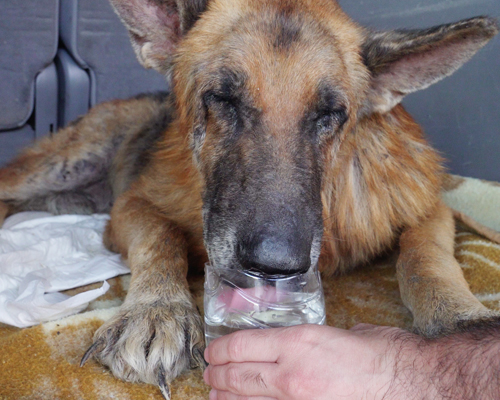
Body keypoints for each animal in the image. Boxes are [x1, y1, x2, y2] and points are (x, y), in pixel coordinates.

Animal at [0, 0, 498, 396]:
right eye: (223, 98)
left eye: (330, 113)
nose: (274, 267)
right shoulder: (134, 205)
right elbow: (160, 239)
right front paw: (156, 308)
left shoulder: (429, 207)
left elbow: (425, 258)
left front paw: (461, 319)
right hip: (63, 163)